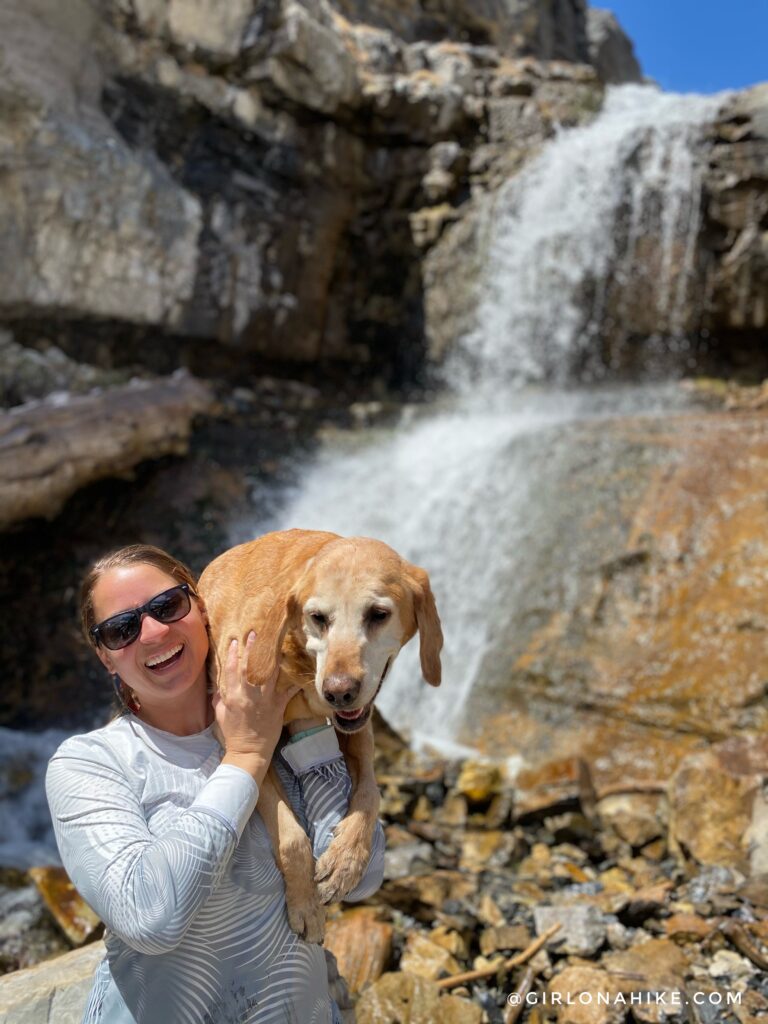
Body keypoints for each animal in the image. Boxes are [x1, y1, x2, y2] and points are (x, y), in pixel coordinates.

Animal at [198, 532, 442, 937]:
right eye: (318, 618)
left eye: (378, 614)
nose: (338, 692)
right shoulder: (239, 737)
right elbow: (292, 837)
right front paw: (305, 905)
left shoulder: (360, 731)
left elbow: (370, 793)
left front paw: (346, 862)